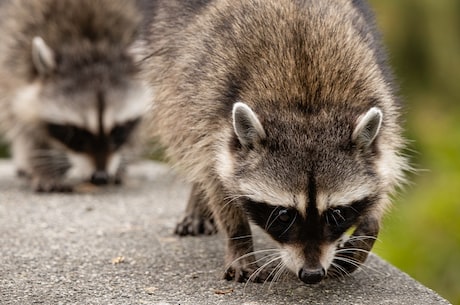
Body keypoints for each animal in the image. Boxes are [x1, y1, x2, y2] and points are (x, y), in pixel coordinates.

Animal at [0, 0, 149, 190]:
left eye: (118, 130)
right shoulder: (15, 55)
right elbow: (23, 123)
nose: (100, 177)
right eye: (74, 133)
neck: (88, 43)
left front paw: (122, 161)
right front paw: (41, 166)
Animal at [142, 0, 408, 284]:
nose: (312, 274)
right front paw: (239, 239)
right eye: (283, 215)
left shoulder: (382, 105)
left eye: (336, 214)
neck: (306, 104)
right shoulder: (209, 108)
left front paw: (367, 230)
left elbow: (382, 177)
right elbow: (215, 177)